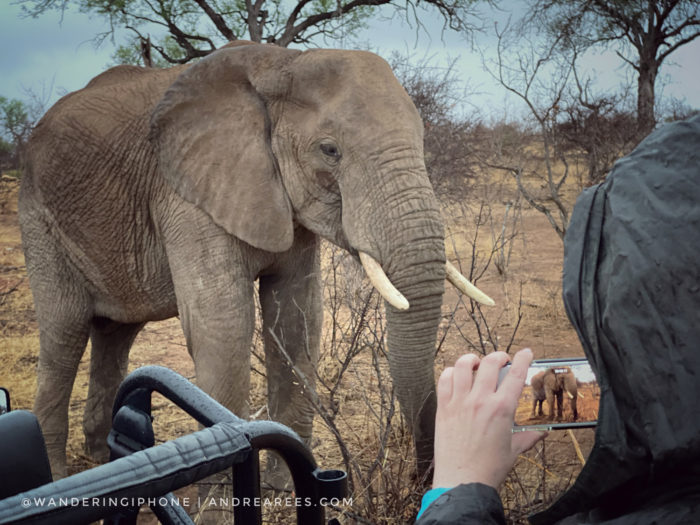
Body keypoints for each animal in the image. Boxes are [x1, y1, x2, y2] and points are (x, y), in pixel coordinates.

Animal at [20, 43, 492, 482]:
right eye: (330, 150)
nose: (419, 478)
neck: (282, 63)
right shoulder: (187, 196)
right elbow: (223, 327)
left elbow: (298, 319)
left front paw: (289, 485)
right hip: (40, 218)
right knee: (65, 331)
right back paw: (58, 475)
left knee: (115, 333)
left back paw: (108, 459)